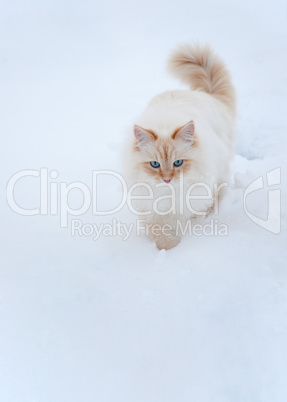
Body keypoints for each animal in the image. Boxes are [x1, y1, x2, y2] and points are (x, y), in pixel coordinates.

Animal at [125, 43, 236, 248]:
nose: (167, 179)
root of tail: (205, 95)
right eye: (155, 164)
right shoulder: (150, 210)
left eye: (178, 163)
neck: (169, 195)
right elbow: (159, 234)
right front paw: (169, 248)